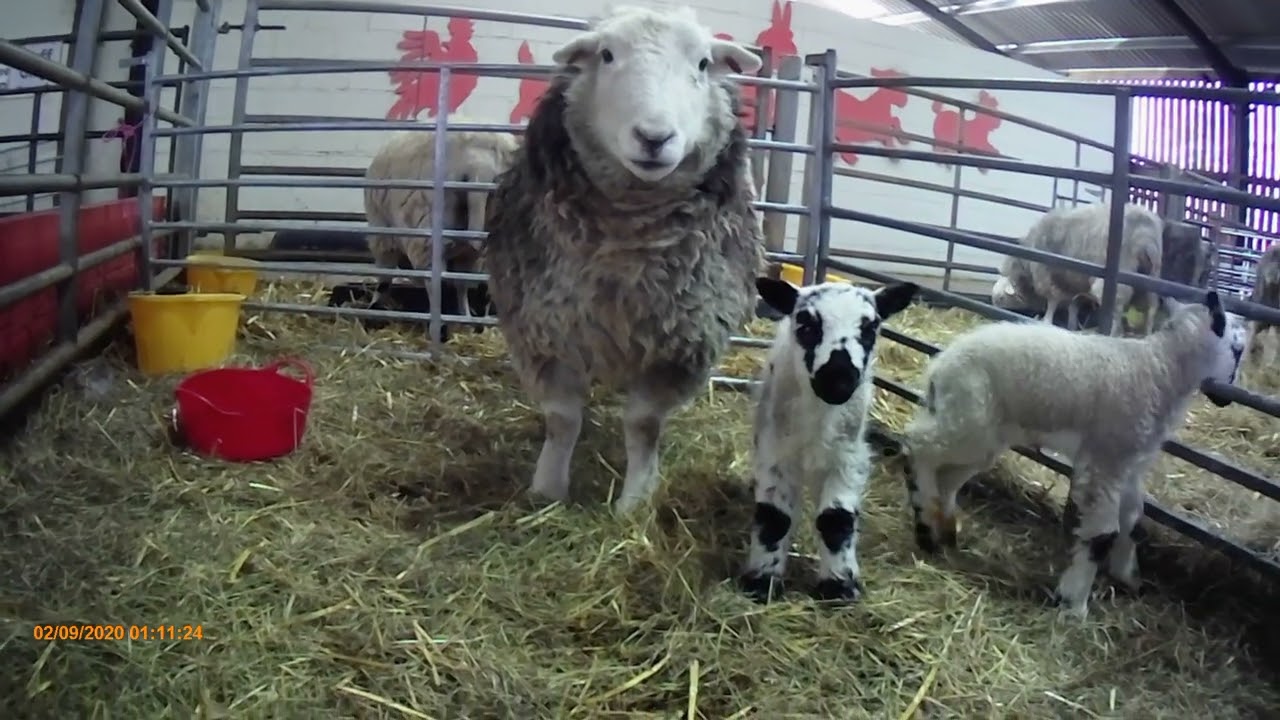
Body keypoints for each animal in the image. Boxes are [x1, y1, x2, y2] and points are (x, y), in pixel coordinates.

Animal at [481, 6, 766, 513]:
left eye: (703, 63)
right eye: (607, 55)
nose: (654, 138)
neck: (627, 250)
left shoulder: (681, 345)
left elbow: (643, 425)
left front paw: (635, 501)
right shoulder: (544, 331)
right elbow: (562, 420)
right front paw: (547, 490)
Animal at [741, 277, 918, 603]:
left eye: (870, 328)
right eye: (807, 324)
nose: (838, 378)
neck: (820, 418)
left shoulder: (848, 459)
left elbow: (835, 519)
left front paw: (840, 584)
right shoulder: (776, 454)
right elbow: (775, 517)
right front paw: (762, 580)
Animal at [900, 291, 1243, 619]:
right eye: (1238, 349)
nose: (1226, 398)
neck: (1161, 368)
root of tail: (940, 366)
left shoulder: (1130, 461)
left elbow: (1132, 520)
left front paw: (1128, 576)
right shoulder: (1107, 457)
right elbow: (1102, 534)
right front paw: (1074, 603)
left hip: (980, 432)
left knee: (946, 476)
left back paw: (945, 530)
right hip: (968, 421)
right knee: (917, 446)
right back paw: (925, 527)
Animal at [1008, 202, 1164, 336]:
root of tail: (1145, 235)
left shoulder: (1046, 274)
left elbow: (1053, 300)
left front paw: (1047, 320)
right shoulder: (1073, 282)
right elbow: (1073, 305)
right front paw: (1071, 325)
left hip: (1117, 279)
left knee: (1117, 310)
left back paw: (1112, 334)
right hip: (1152, 276)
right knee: (1152, 307)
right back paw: (1147, 334)